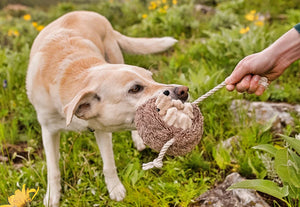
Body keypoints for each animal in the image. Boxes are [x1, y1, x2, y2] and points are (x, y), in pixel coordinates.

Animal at [27, 10, 189, 205]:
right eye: (135, 88)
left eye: (151, 77)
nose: (183, 91)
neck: (69, 75)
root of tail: (86, 12)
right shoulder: (48, 130)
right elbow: (53, 169)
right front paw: (52, 195)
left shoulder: (102, 129)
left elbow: (109, 164)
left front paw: (115, 189)